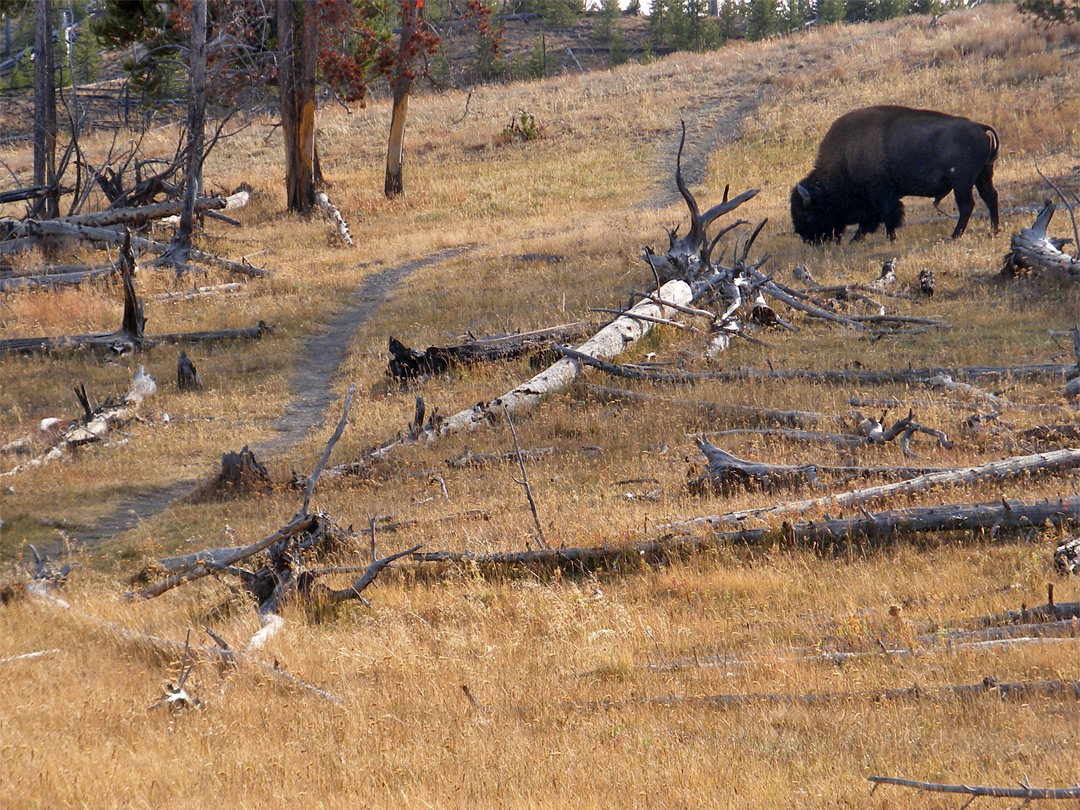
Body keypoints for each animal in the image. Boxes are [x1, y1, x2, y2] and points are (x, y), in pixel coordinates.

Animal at [790, 105, 997, 244]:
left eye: (808, 214)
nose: (808, 239)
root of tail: (980, 127)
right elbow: (871, 220)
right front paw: (856, 239)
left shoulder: (881, 192)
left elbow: (888, 214)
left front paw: (890, 238)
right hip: (983, 175)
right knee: (990, 197)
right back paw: (994, 231)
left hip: (962, 181)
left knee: (967, 205)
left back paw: (954, 236)